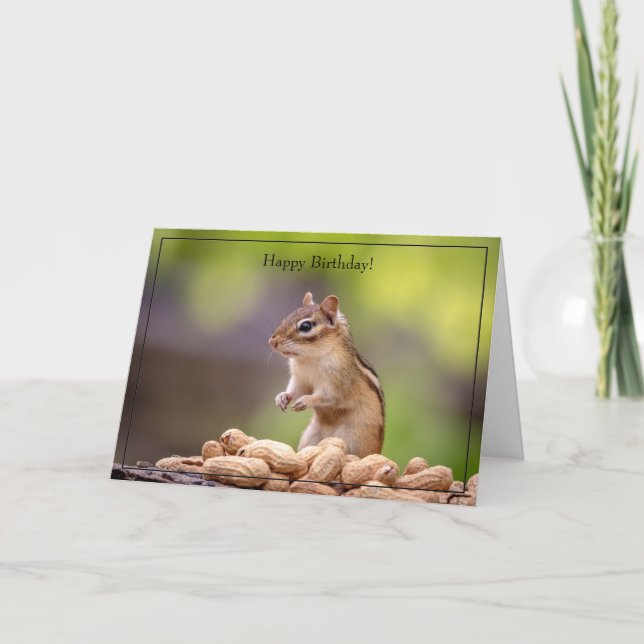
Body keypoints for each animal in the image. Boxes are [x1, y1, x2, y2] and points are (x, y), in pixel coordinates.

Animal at [268, 292, 384, 457]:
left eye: (305, 326)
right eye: (285, 319)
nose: (272, 342)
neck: (309, 359)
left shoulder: (338, 382)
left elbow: (328, 396)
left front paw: (306, 400)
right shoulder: (300, 379)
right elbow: (296, 390)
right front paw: (282, 397)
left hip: (353, 439)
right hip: (310, 437)